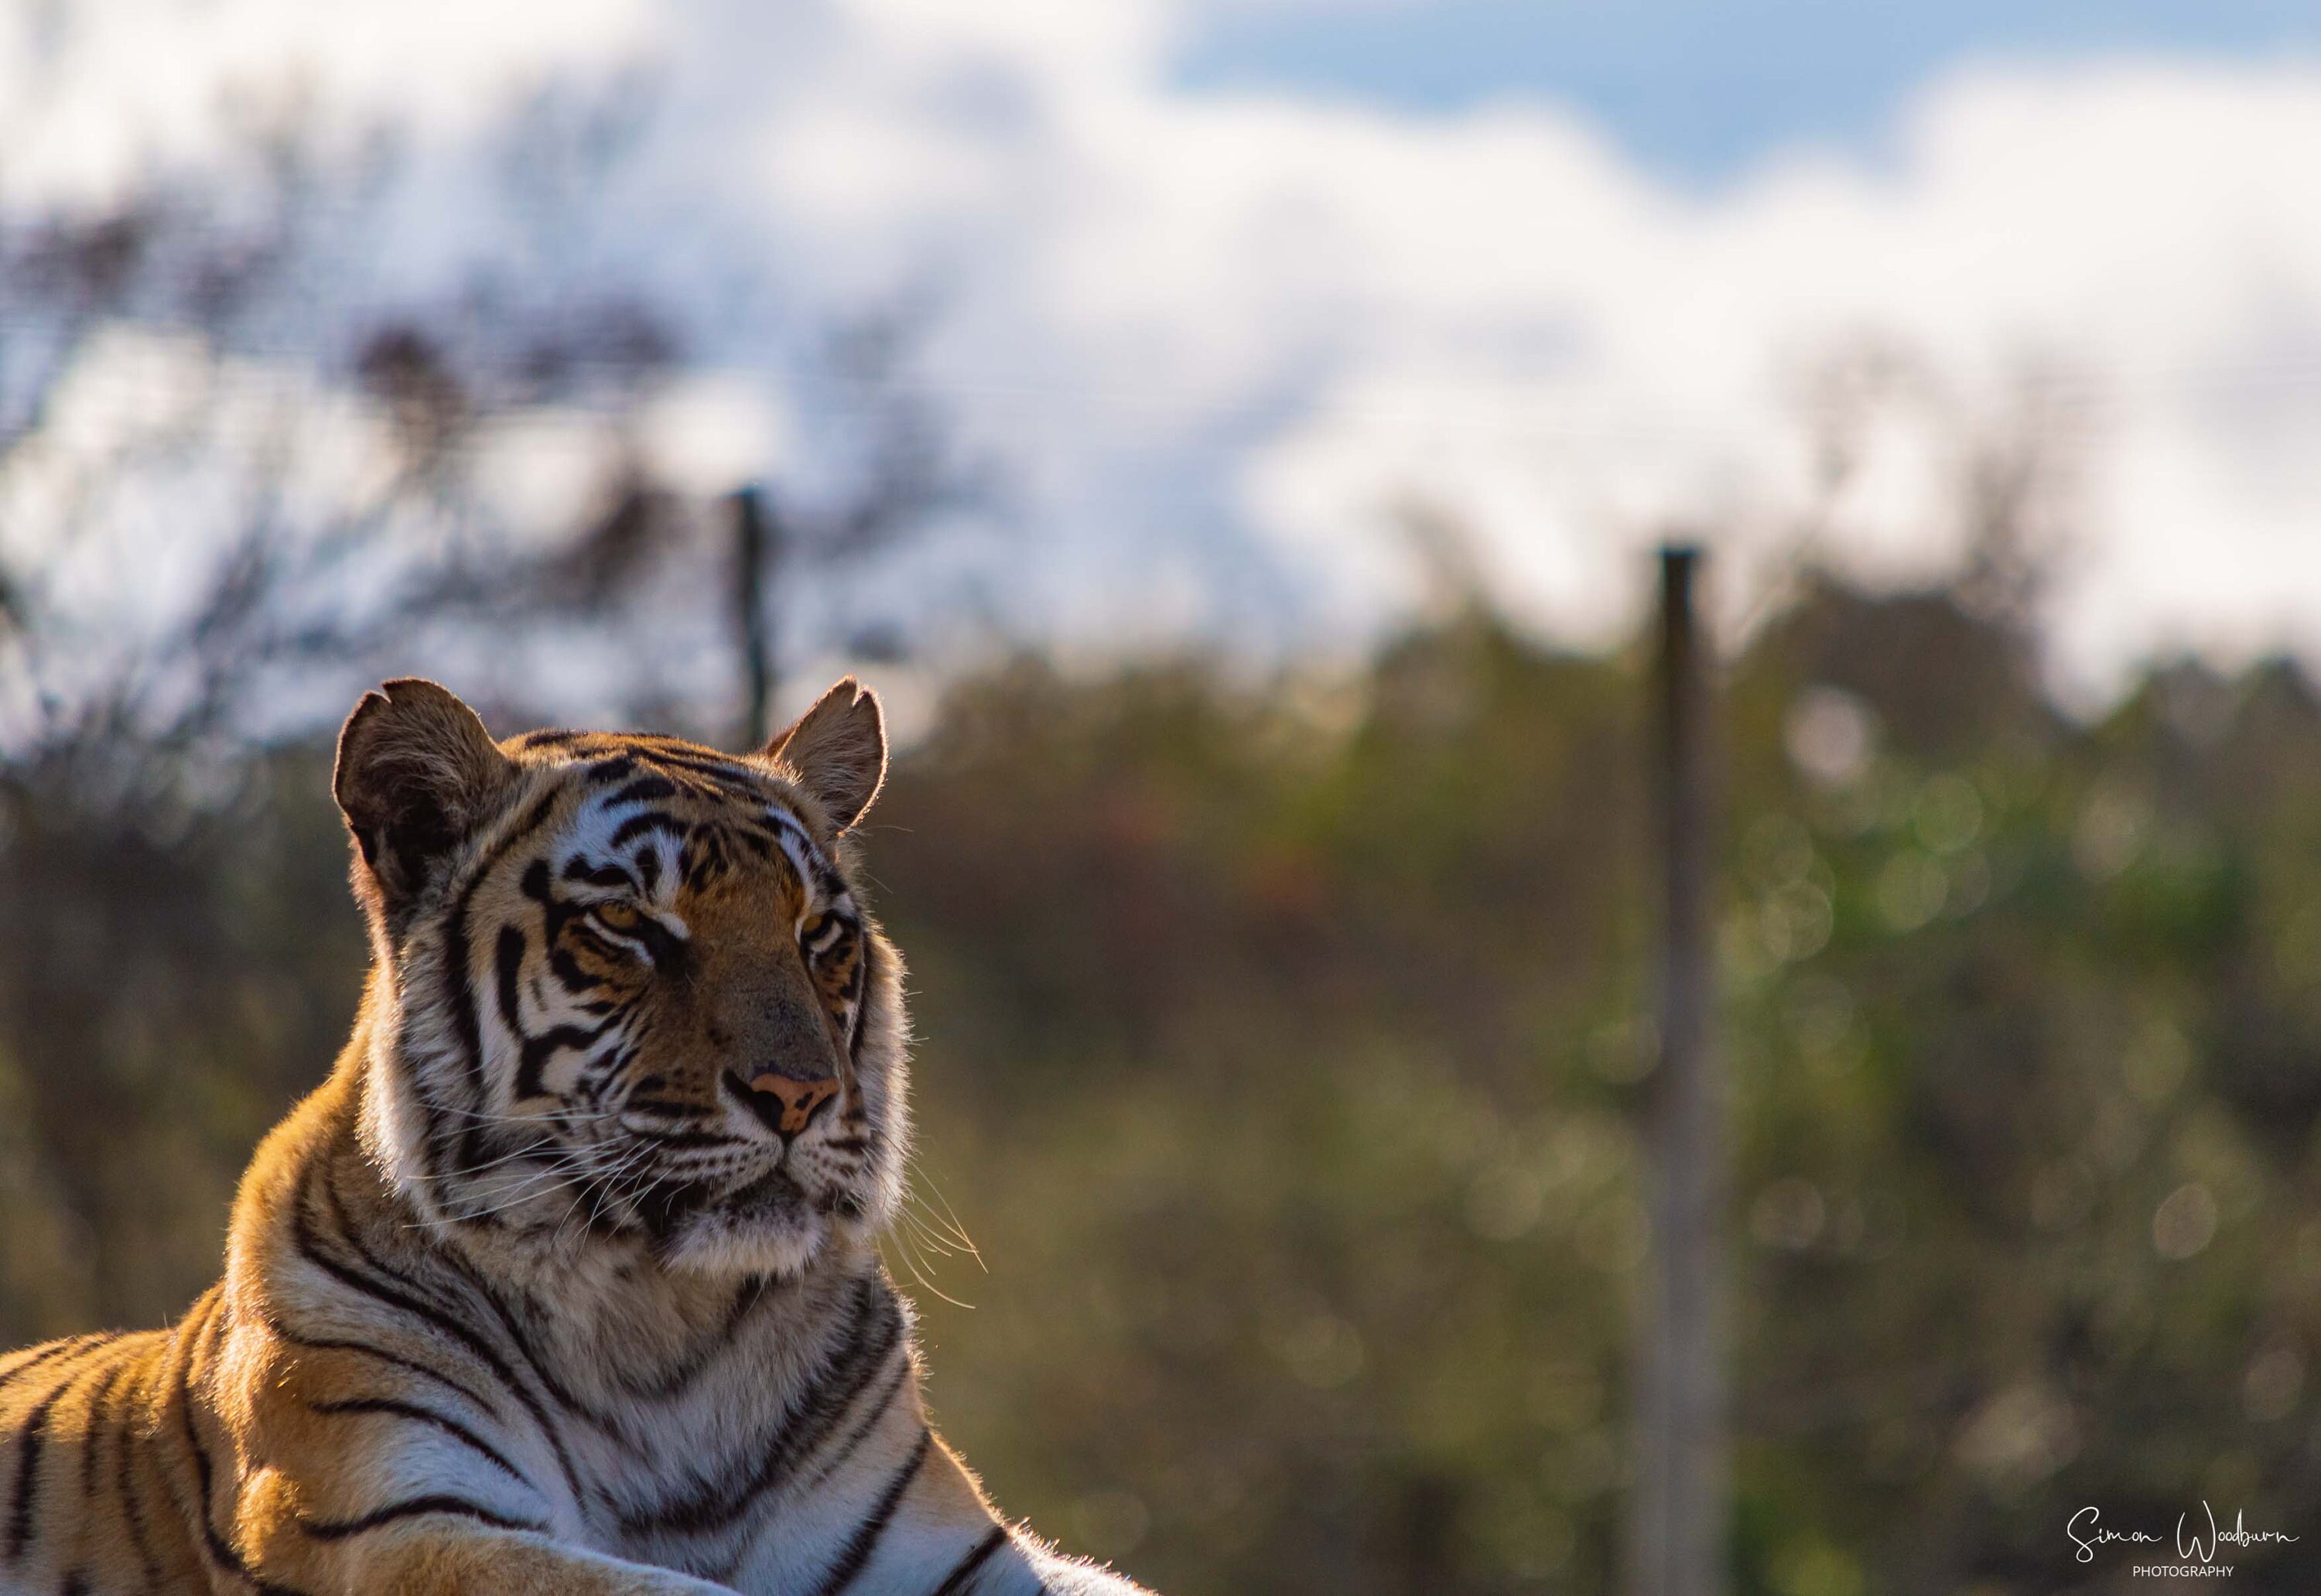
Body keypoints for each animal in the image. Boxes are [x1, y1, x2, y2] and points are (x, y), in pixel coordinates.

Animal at [0, 676, 1158, 1596]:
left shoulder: (946, 1547)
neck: (663, 1327)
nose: (801, 1093)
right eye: (632, 926)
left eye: (817, 933)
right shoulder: (401, 1528)